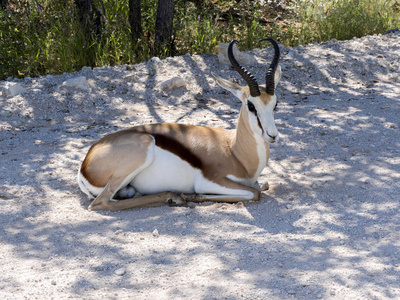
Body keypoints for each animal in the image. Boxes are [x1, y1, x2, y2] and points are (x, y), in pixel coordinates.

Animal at [78, 38, 282, 211]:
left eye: (275, 103)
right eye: (251, 105)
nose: (272, 135)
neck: (235, 151)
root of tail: (86, 162)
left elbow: (262, 185)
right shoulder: (209, 181)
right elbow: (254, 192)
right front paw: (191, 196)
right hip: (143, 149)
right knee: (100, 203)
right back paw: (173, 197)